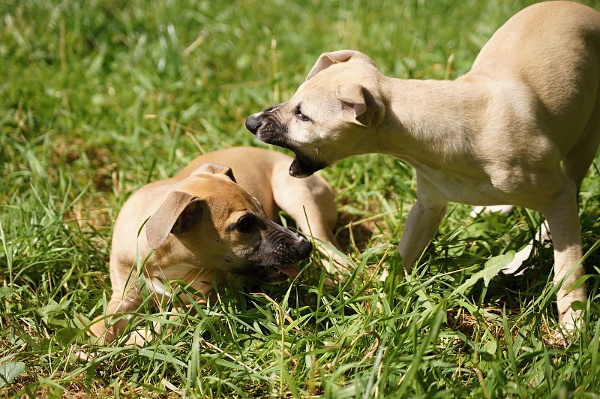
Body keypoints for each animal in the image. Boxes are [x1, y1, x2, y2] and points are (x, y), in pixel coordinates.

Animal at [91, 147, 340, 344]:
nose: (303, 249)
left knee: (326, 243)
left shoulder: (203, 300)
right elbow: (100, 325)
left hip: (295, 194)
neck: (164, 263)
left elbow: (169, 320)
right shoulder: (124, 296)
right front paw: (90, 349)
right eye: (244, 224)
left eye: (261, 209)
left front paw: (134, 339)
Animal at [246, 2, 600, 334]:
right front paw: (376, 310)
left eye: (302, 115)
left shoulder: (558, 194)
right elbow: (402, 257)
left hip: (585, 140)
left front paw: (573, 325)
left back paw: (526, 254)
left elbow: (569, 267)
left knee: (569, 195)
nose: (251, 122)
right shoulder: (428, 205)